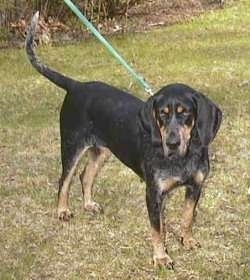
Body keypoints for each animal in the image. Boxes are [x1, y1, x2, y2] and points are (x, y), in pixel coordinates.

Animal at [25, 12, 223, 268]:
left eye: (185, 113)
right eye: (162, 114)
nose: (171, 144)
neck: (182, 159)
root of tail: (76, 86)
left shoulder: (196, 186)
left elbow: (187, 217)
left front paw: (186, 240)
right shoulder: (154, 194)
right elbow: (157, 229)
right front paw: (161, 257)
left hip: (102, 151)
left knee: (85, 176)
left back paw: (88, 204)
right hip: (71, 145)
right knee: (64, 180)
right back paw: (62, 211)